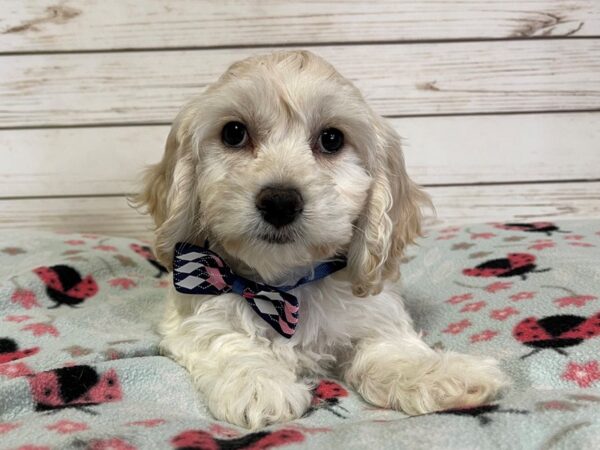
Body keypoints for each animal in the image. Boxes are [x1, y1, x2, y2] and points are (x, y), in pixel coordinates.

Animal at [135, 49, 506, 428]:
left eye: (331, 139)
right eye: (234, 133)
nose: (280, 202)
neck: (282, 289)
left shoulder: (371, 315)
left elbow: (389, 348)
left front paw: (441, 374)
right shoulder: (193, 312)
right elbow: (223, 339)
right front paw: (258, 385)